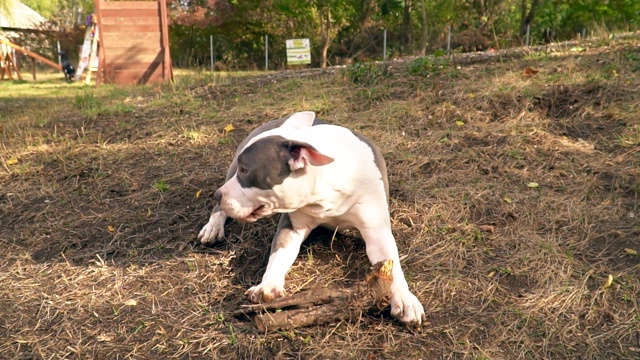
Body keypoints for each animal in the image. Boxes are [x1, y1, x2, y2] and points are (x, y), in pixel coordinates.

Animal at [199, 111, 424, 324]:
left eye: (245, 170)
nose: (217, 195)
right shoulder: (291, 228)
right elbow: (278, 256)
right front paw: (267, 285)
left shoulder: (376, 230)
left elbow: (392, 264)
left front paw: (404, 298)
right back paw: (213, 227)